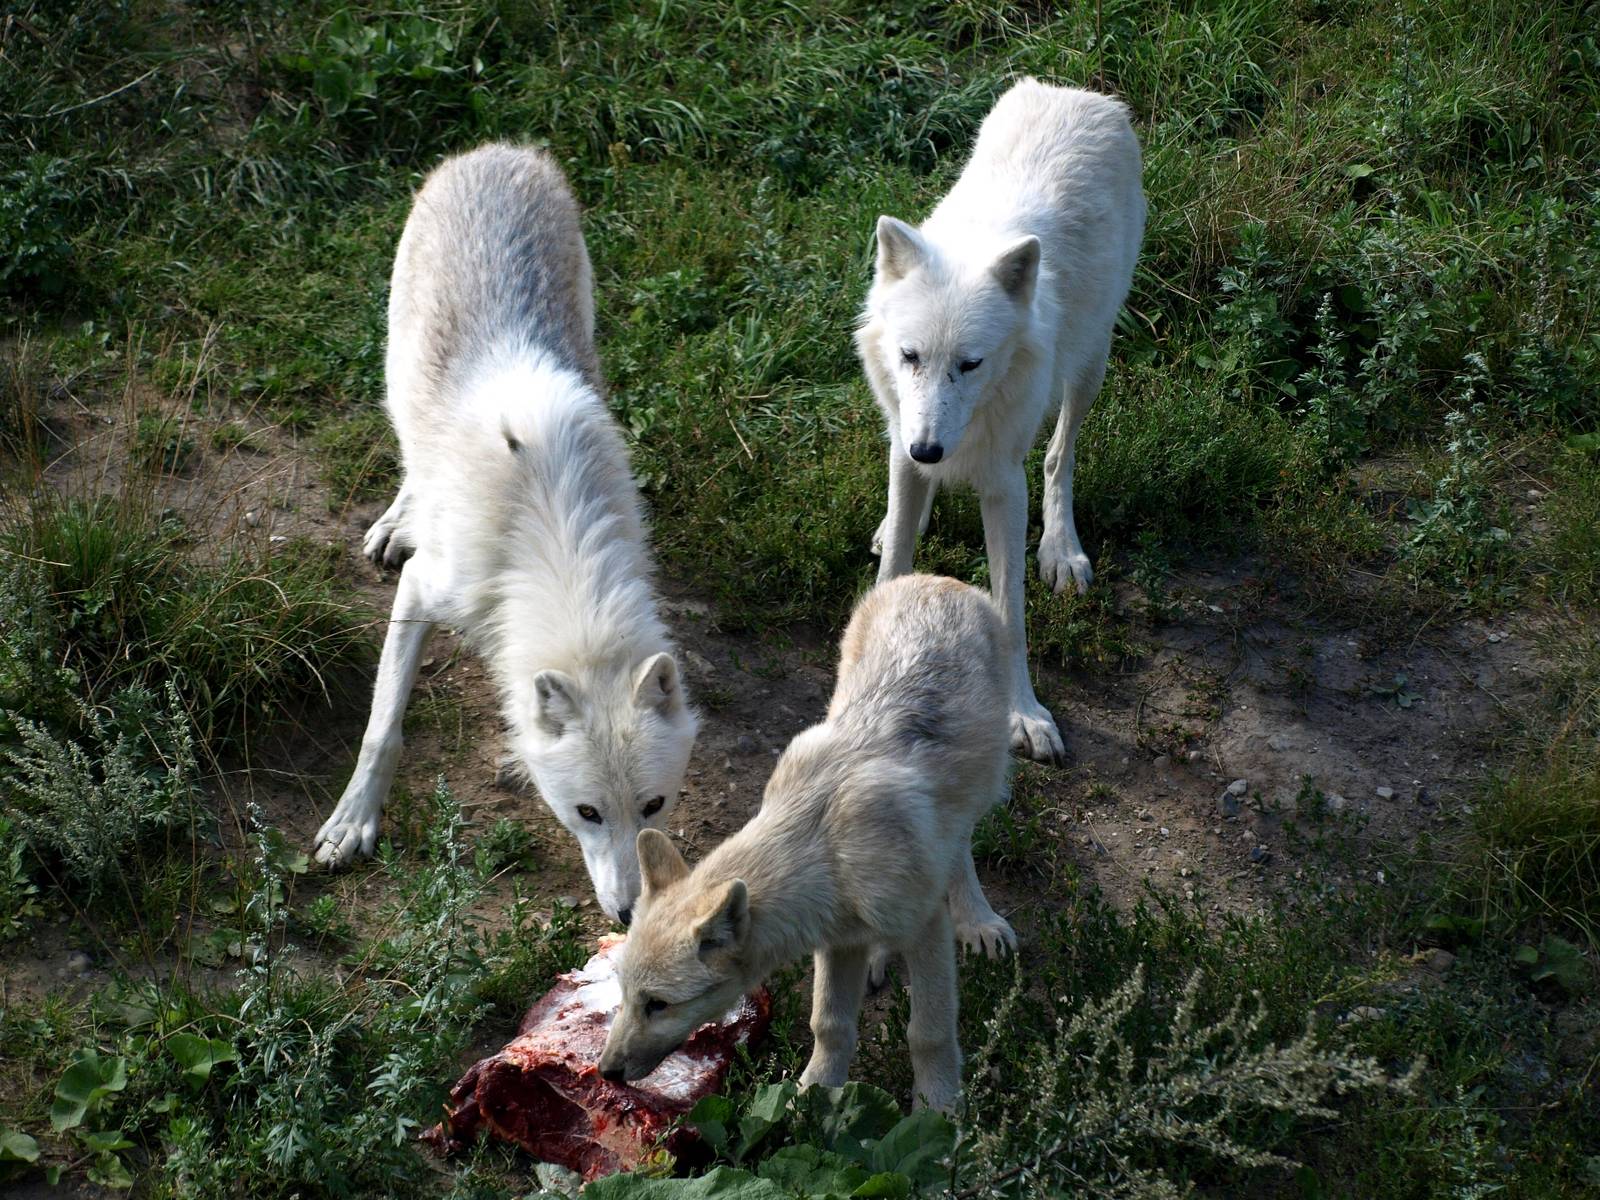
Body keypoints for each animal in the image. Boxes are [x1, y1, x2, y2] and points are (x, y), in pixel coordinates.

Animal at [312, 144, 699, 926]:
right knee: (411, 455)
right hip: (395, 368)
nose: (630, 915)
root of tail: (503, 150)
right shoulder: (423, 588)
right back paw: (398, 521)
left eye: (653, 805)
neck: (556, 543)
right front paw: (354, 821)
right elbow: (382, 723)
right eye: (586, 813)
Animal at [597, 574, 1014, 1112]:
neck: (828, 852)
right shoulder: (838, 940)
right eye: (625, 996)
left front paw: (938, 1111)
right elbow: (829, 1025)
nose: (606, 1071)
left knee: (959, 848)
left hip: (980, 792)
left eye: (658, 1005)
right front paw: (809, 1099)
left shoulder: (926, 928)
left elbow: (929, 1034)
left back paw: (976, 918)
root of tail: (938, 580)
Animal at [857, 78, 1145, 764]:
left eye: (971, 363)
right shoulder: (905, 439)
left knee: (1060, 457)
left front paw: (1025, 714)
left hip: (1090, 362)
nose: (928, 452)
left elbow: (1010, 610)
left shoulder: (1003, 483)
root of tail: (1076, 91)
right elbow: (893, 564)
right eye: (910, 356)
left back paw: (1061, 549)